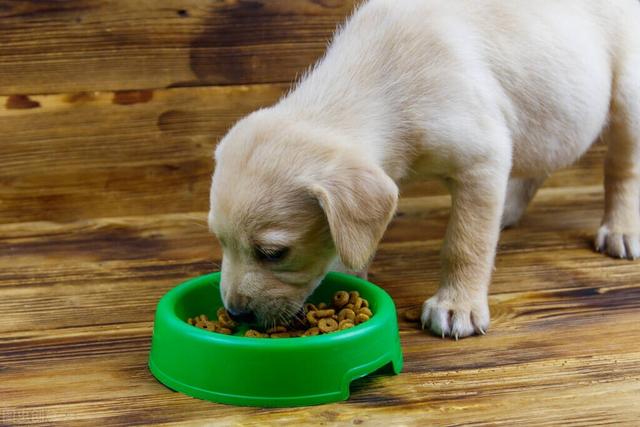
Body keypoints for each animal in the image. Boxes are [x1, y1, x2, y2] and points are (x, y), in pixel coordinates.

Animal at [209, 0, 640, 342]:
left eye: (273, 253)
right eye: (220, 241)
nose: (235, 313)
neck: (379, 85)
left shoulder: (482, 160)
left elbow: (465, 242)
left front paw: (457, 306)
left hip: (627, 96)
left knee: (622, 169)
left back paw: (621, 229)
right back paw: (508, 209)